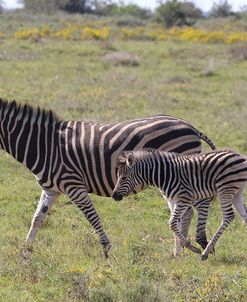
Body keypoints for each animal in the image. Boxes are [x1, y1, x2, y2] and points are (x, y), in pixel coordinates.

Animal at [0, 98, 215, 258]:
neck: (44, 146)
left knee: (193, 208)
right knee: (185, 212)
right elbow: (37, 218)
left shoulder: (74, 186)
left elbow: (92, 217)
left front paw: (106, 249)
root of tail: (190, 126)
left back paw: (190, 248)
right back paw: (179, 252)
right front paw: (26, 252)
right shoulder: (51, 190)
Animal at [113, 149, 247, 260]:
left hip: (225, 190)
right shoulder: (172, 200)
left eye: (123, 178)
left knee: (229, 216)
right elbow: (175, 224)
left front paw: (191, 247)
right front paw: (177, 253)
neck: (164, 175)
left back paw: (205, 252)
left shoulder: (184, 198)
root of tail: (241, 156)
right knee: (244, 217)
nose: (114, 196)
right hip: (236, 192)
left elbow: (172, 223)